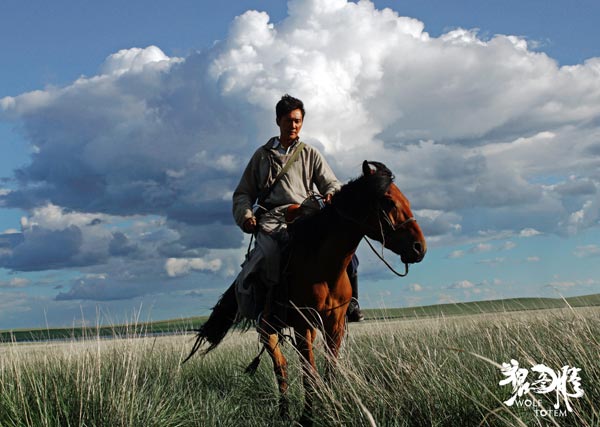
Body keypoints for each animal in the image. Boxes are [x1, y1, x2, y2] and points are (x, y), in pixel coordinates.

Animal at [185, 160, 424, 424]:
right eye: (389, 201)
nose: (419, 248)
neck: (323, 265)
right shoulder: (302, 324)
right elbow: (309, 374)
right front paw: (307, 417)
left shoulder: (334, 324)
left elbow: (330, 370)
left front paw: (331, 409)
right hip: (268, 330)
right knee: (281, 366)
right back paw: (284, 412)